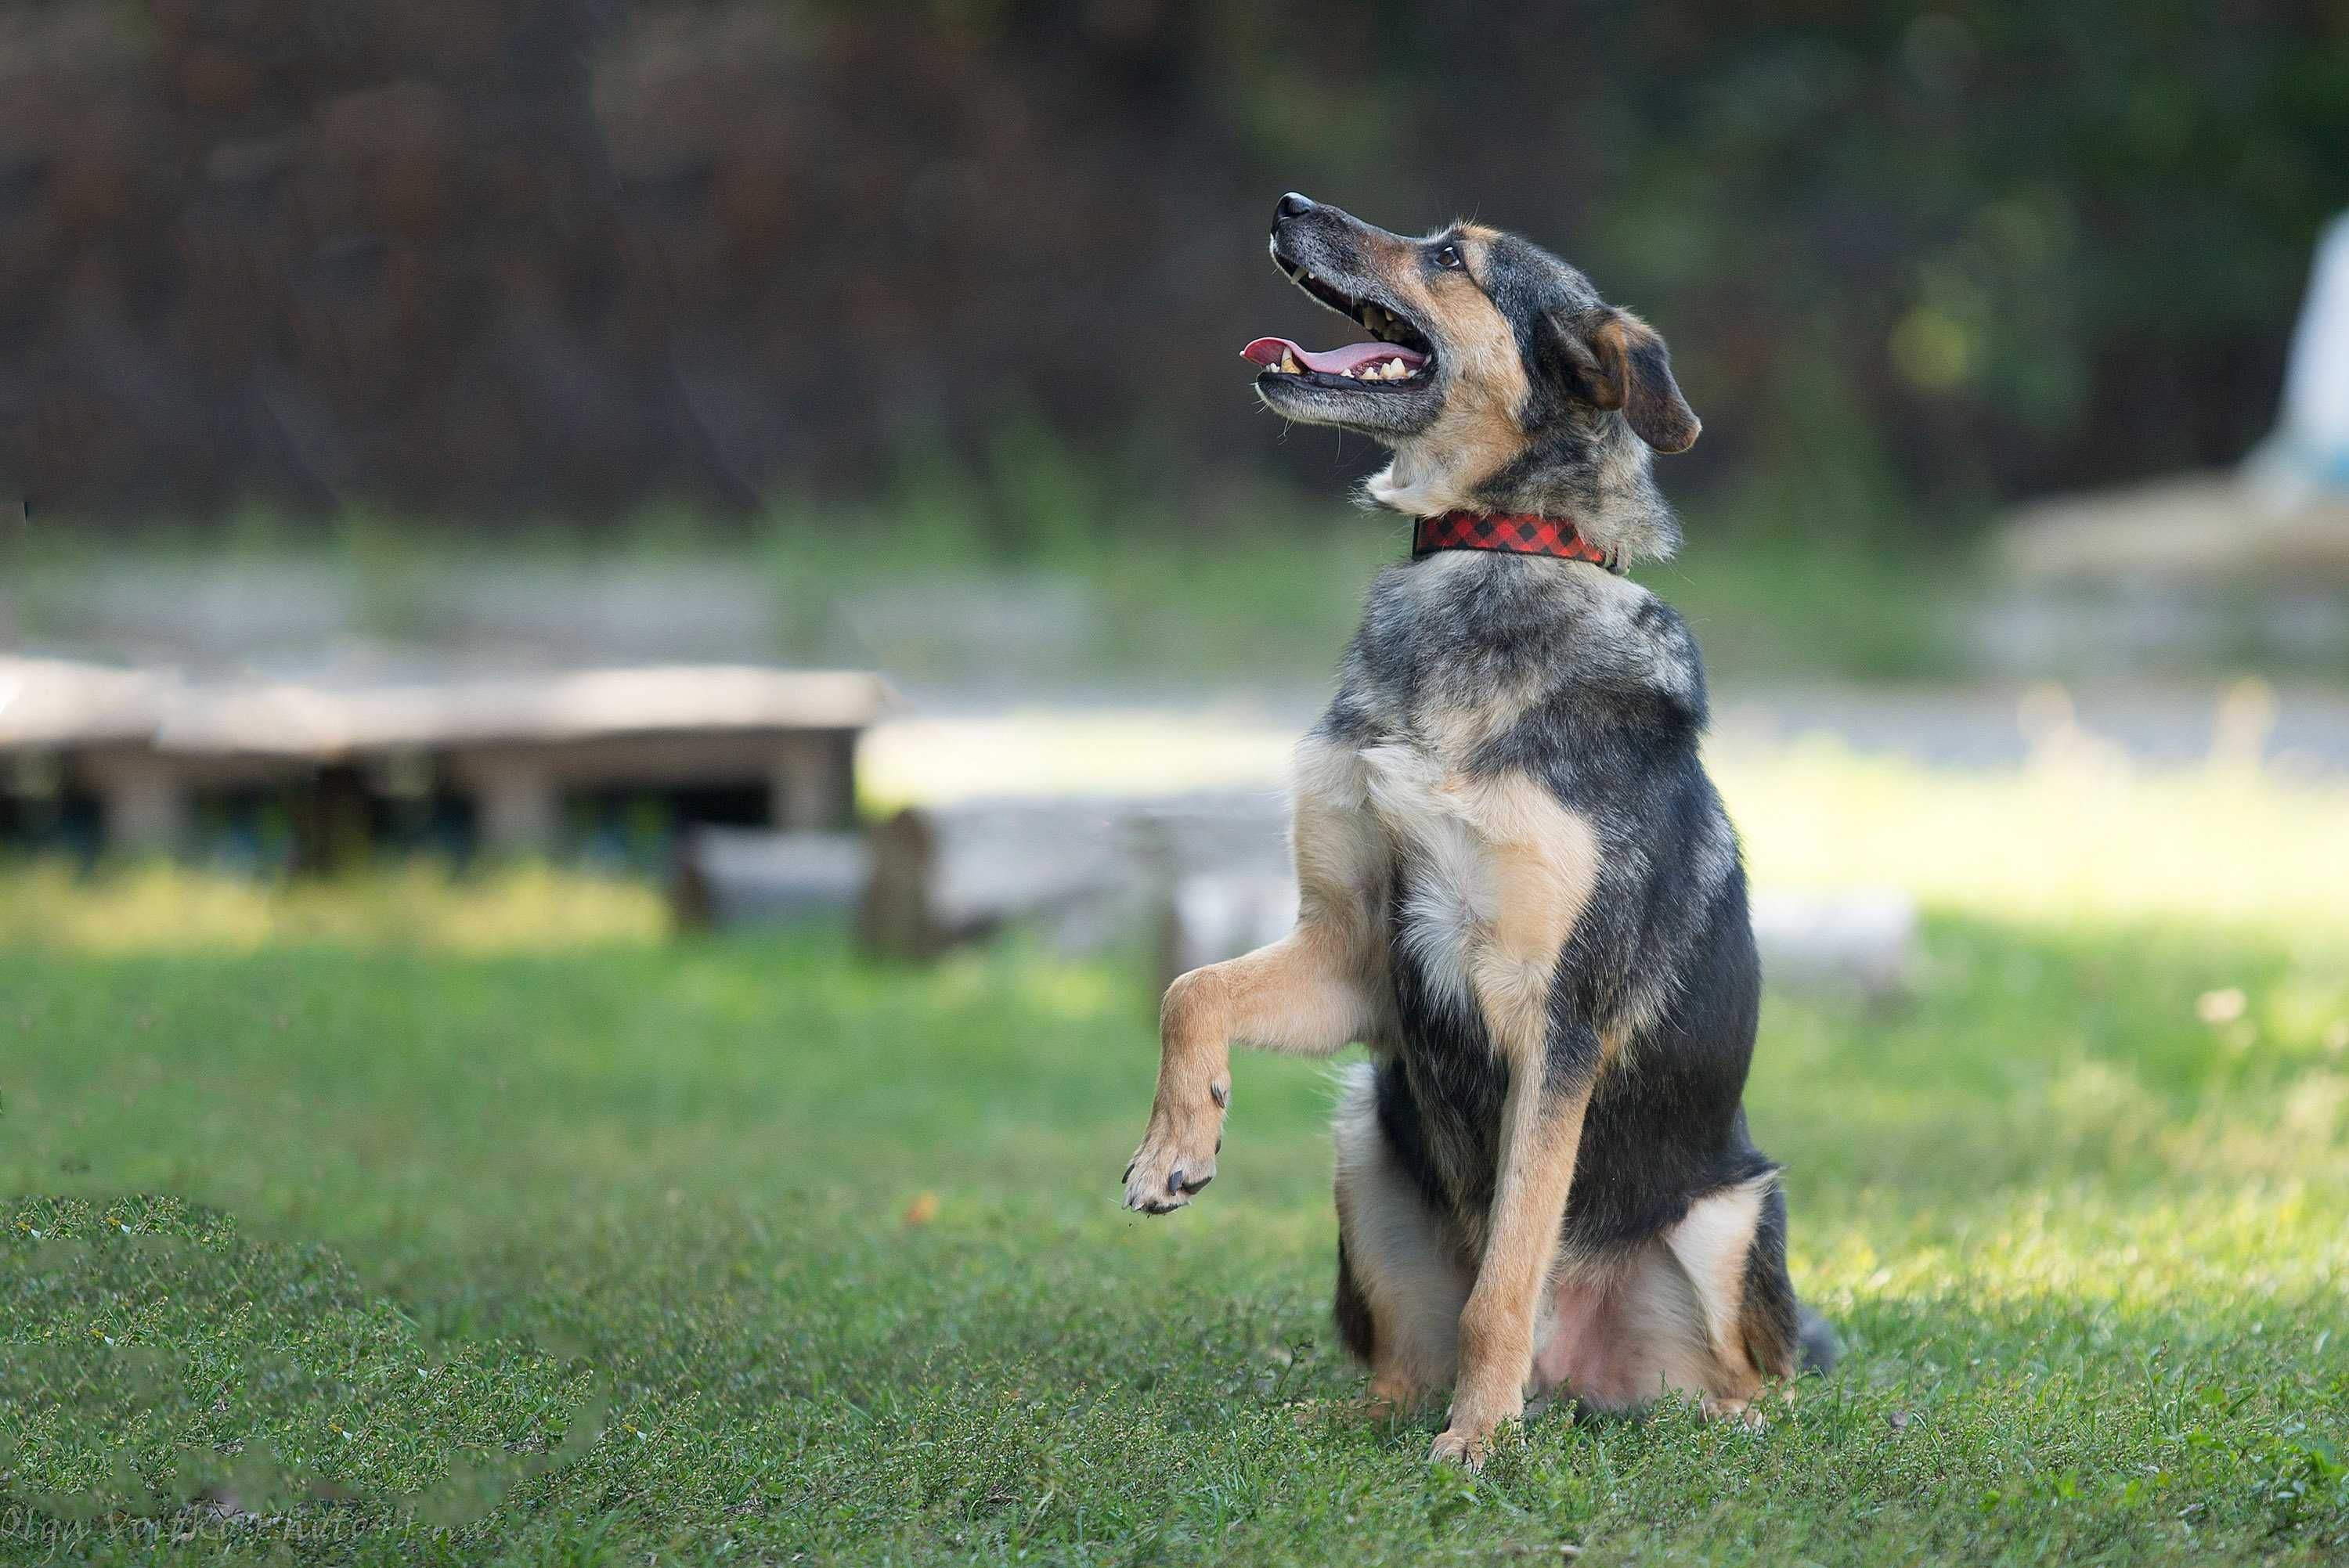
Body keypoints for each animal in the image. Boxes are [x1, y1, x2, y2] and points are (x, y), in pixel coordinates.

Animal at [1118, 192, 1832, 1474]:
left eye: (1452, 256)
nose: (1287, 206)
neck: (1494, 544)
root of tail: (1582, 1385)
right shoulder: (1356, 953)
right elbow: (1190, 988)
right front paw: (1172, 1150)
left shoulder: (1554, 1016)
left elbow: (1507, 1269)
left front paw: (1480, 1442)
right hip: (1363, 1135)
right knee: (1402, 1360)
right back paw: (1355, 1411)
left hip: (1731, 1212)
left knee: (1752, 1374)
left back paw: (1675, 1418)